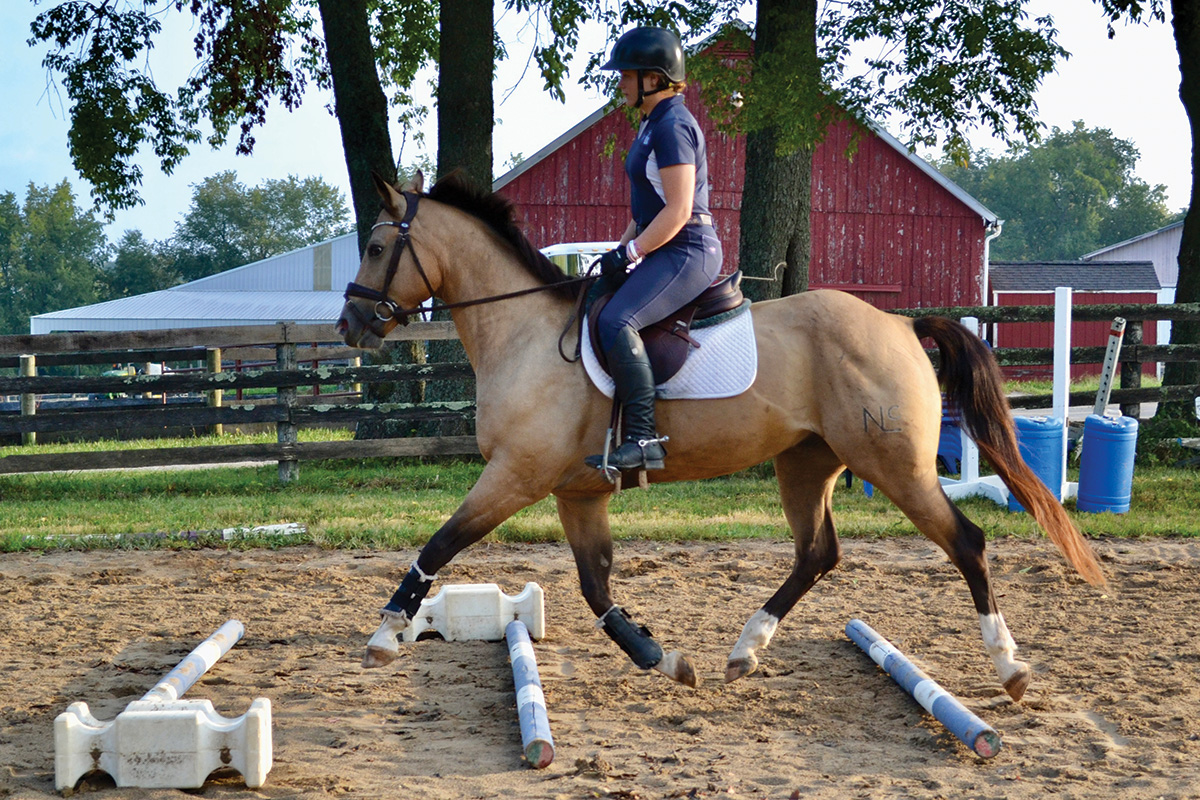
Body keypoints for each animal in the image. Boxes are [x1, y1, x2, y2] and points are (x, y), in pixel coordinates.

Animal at [333, 170, 1099, 700]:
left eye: (375, 246)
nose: (350, 325)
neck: (523, 334)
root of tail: (902, 325)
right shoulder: (577, 493)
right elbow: (595, 587)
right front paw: (662, 658)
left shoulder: (516, 475)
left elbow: (440, 544)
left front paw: (386, 633)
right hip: (806, 464)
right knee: (818, 553)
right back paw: (746, 648)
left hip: (895, 465)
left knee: (966, 542)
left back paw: (1009, 666)